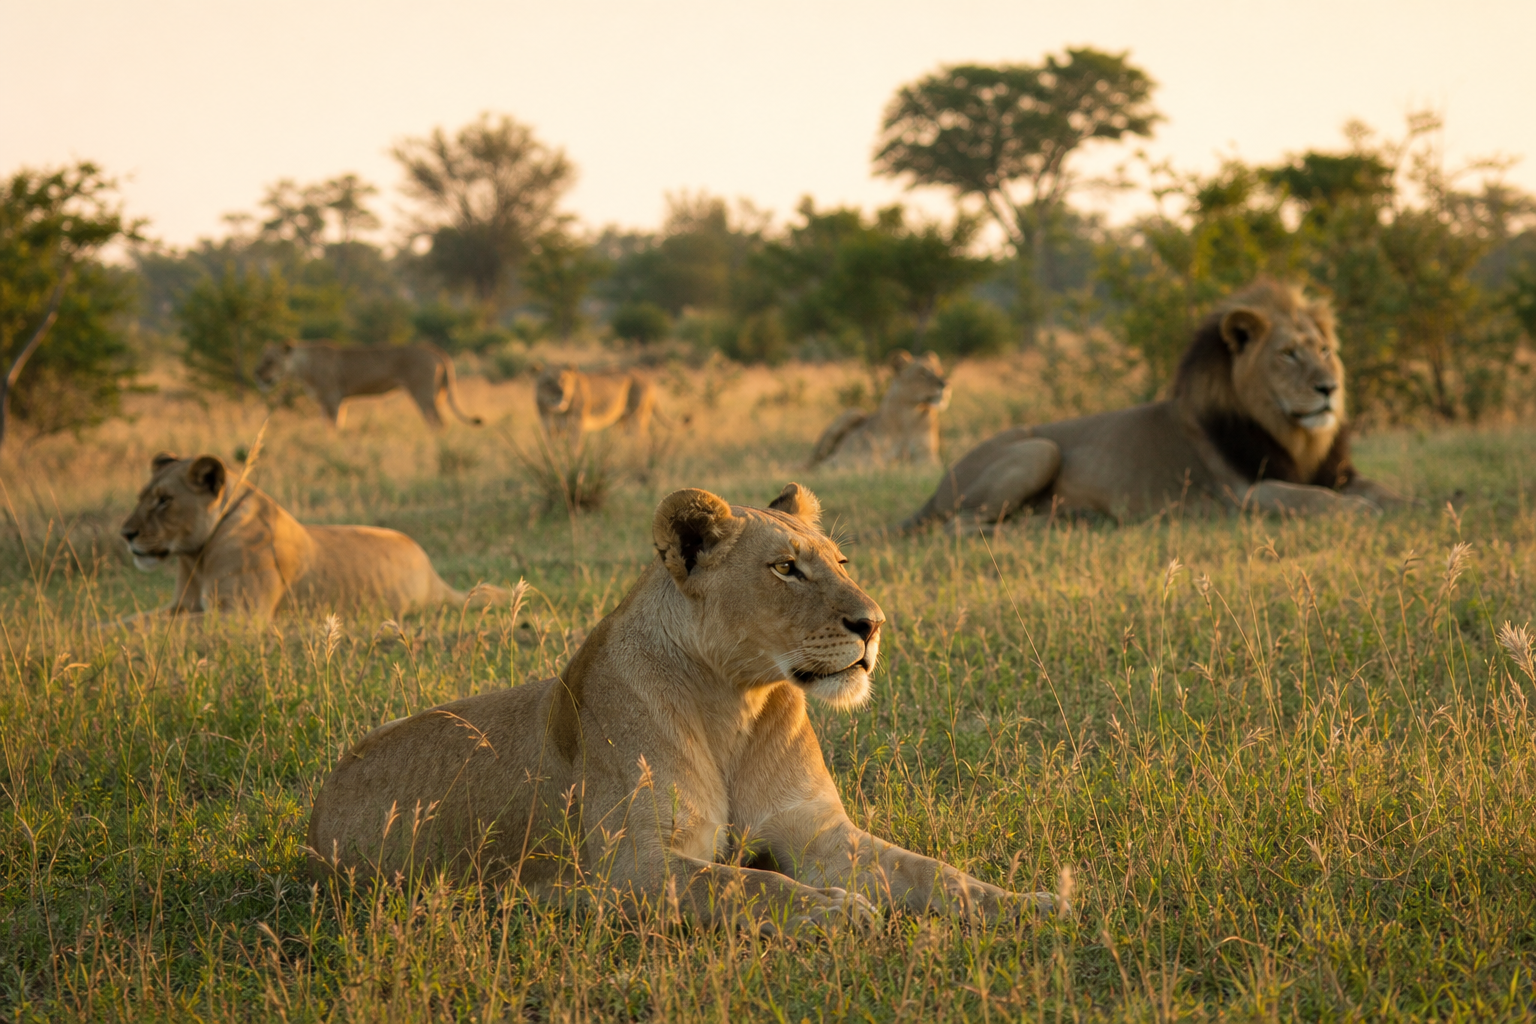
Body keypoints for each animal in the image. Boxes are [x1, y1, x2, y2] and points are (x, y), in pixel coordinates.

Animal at [117, 452, 505, 623]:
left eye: (164, 501)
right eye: (141, 497)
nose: (125, 534)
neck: (195, 556)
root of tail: (433, 574)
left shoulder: (240, 614)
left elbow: (161, 628)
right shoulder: (180, 604)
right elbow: (128, 621)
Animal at [254, 340, 483, 429]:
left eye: (270, 361)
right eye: (263, 358)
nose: (256, 374)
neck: (301, 366)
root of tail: (435, 350)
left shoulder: (332, 398)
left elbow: (333, 427)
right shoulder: (330, 402)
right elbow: (329, 425)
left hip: (423, 393)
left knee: (439, 422)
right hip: (437, 394)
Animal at [307, 482, 1053, 936]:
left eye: (841, 561)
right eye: (785, 568)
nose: (873, 624)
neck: (738, 702)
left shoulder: (819, 833)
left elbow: (933, 871)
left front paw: (1034, 903)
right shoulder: (633, 868)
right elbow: (751, 885)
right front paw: (837, 910)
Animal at [810, 350, 951, 468]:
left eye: (939, 371)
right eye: (921, 374)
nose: (946, 384)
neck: (910, 414)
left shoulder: (927, 453)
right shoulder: (866, 452)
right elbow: (874, 462)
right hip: (854, 412)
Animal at [901, 278, 1401, 530]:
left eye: (1324, 350)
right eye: (1288, 354)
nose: (1329, 388)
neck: (1295, 435)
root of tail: (931, 492)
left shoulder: (1334, 472)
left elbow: (1379, 488)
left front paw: (1405, 502)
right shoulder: (1245, 493)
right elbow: (1315, 499)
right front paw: (1362, 511)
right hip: (1040, 448)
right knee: (962, 525)